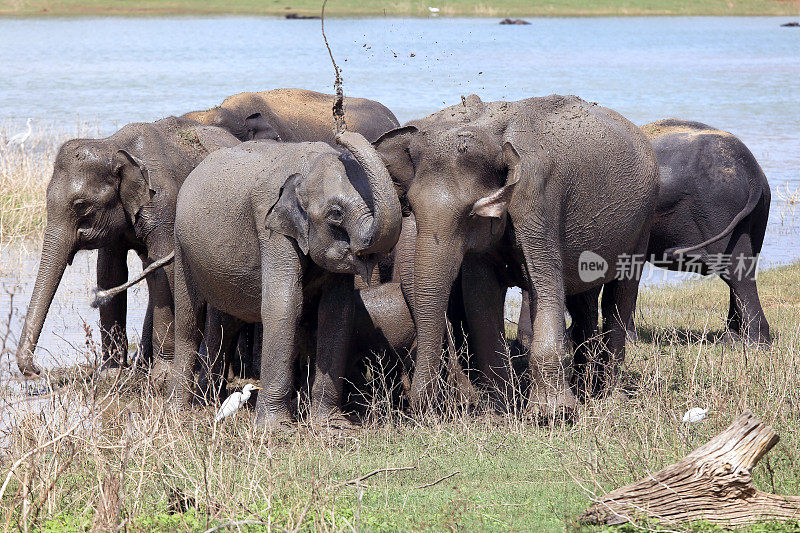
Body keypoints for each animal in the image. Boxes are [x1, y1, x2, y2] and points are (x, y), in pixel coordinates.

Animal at [14, 115, 241, 376]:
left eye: (81, 205)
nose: (37, 369)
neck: (113, 145)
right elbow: (110, 272)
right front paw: (111, 373)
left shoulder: (164, 205)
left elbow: (164, 271)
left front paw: (162, 376)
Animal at [172, 133, 404, 428]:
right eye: (336, 213)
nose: (340, 128)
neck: (308, 165)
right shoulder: (271, 228)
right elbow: (285, 305)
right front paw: (275, 427)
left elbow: (337, 312)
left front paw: (332, 424)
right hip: (181, 243)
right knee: (188, 322)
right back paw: (180, 410)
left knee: (224, 321)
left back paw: (208, 401)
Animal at [372, 96, 660, 420]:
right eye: (411, 206)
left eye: (472, 213)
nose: (424, 408)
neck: (492, 133)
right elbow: (481, 298)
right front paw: (497, 414)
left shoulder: (537, 200)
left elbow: (546, 284)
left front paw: (552, 415)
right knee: (582, 302)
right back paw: (587, 389)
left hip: (642, 224)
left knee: (619, 296)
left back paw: (610, 397)